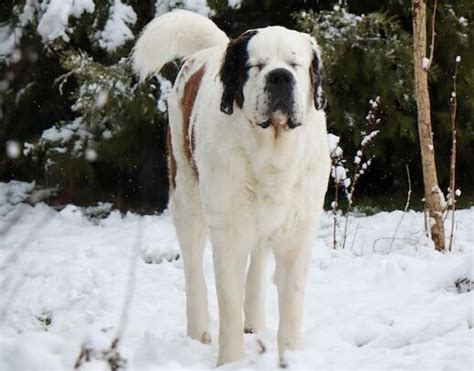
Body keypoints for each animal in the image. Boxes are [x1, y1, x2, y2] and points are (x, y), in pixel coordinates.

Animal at [132, 9, 330, 370]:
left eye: (294, 64)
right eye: (257, 65)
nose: (279, 77)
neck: (271, 155)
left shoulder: (299, 232)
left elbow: (291, 301)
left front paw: (292, 356)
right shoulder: (228, 233)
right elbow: (227, 298)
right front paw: (231, 360)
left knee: (259, 259)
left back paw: (254, 321)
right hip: (185, 196)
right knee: (194, 267)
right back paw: (198, 329)